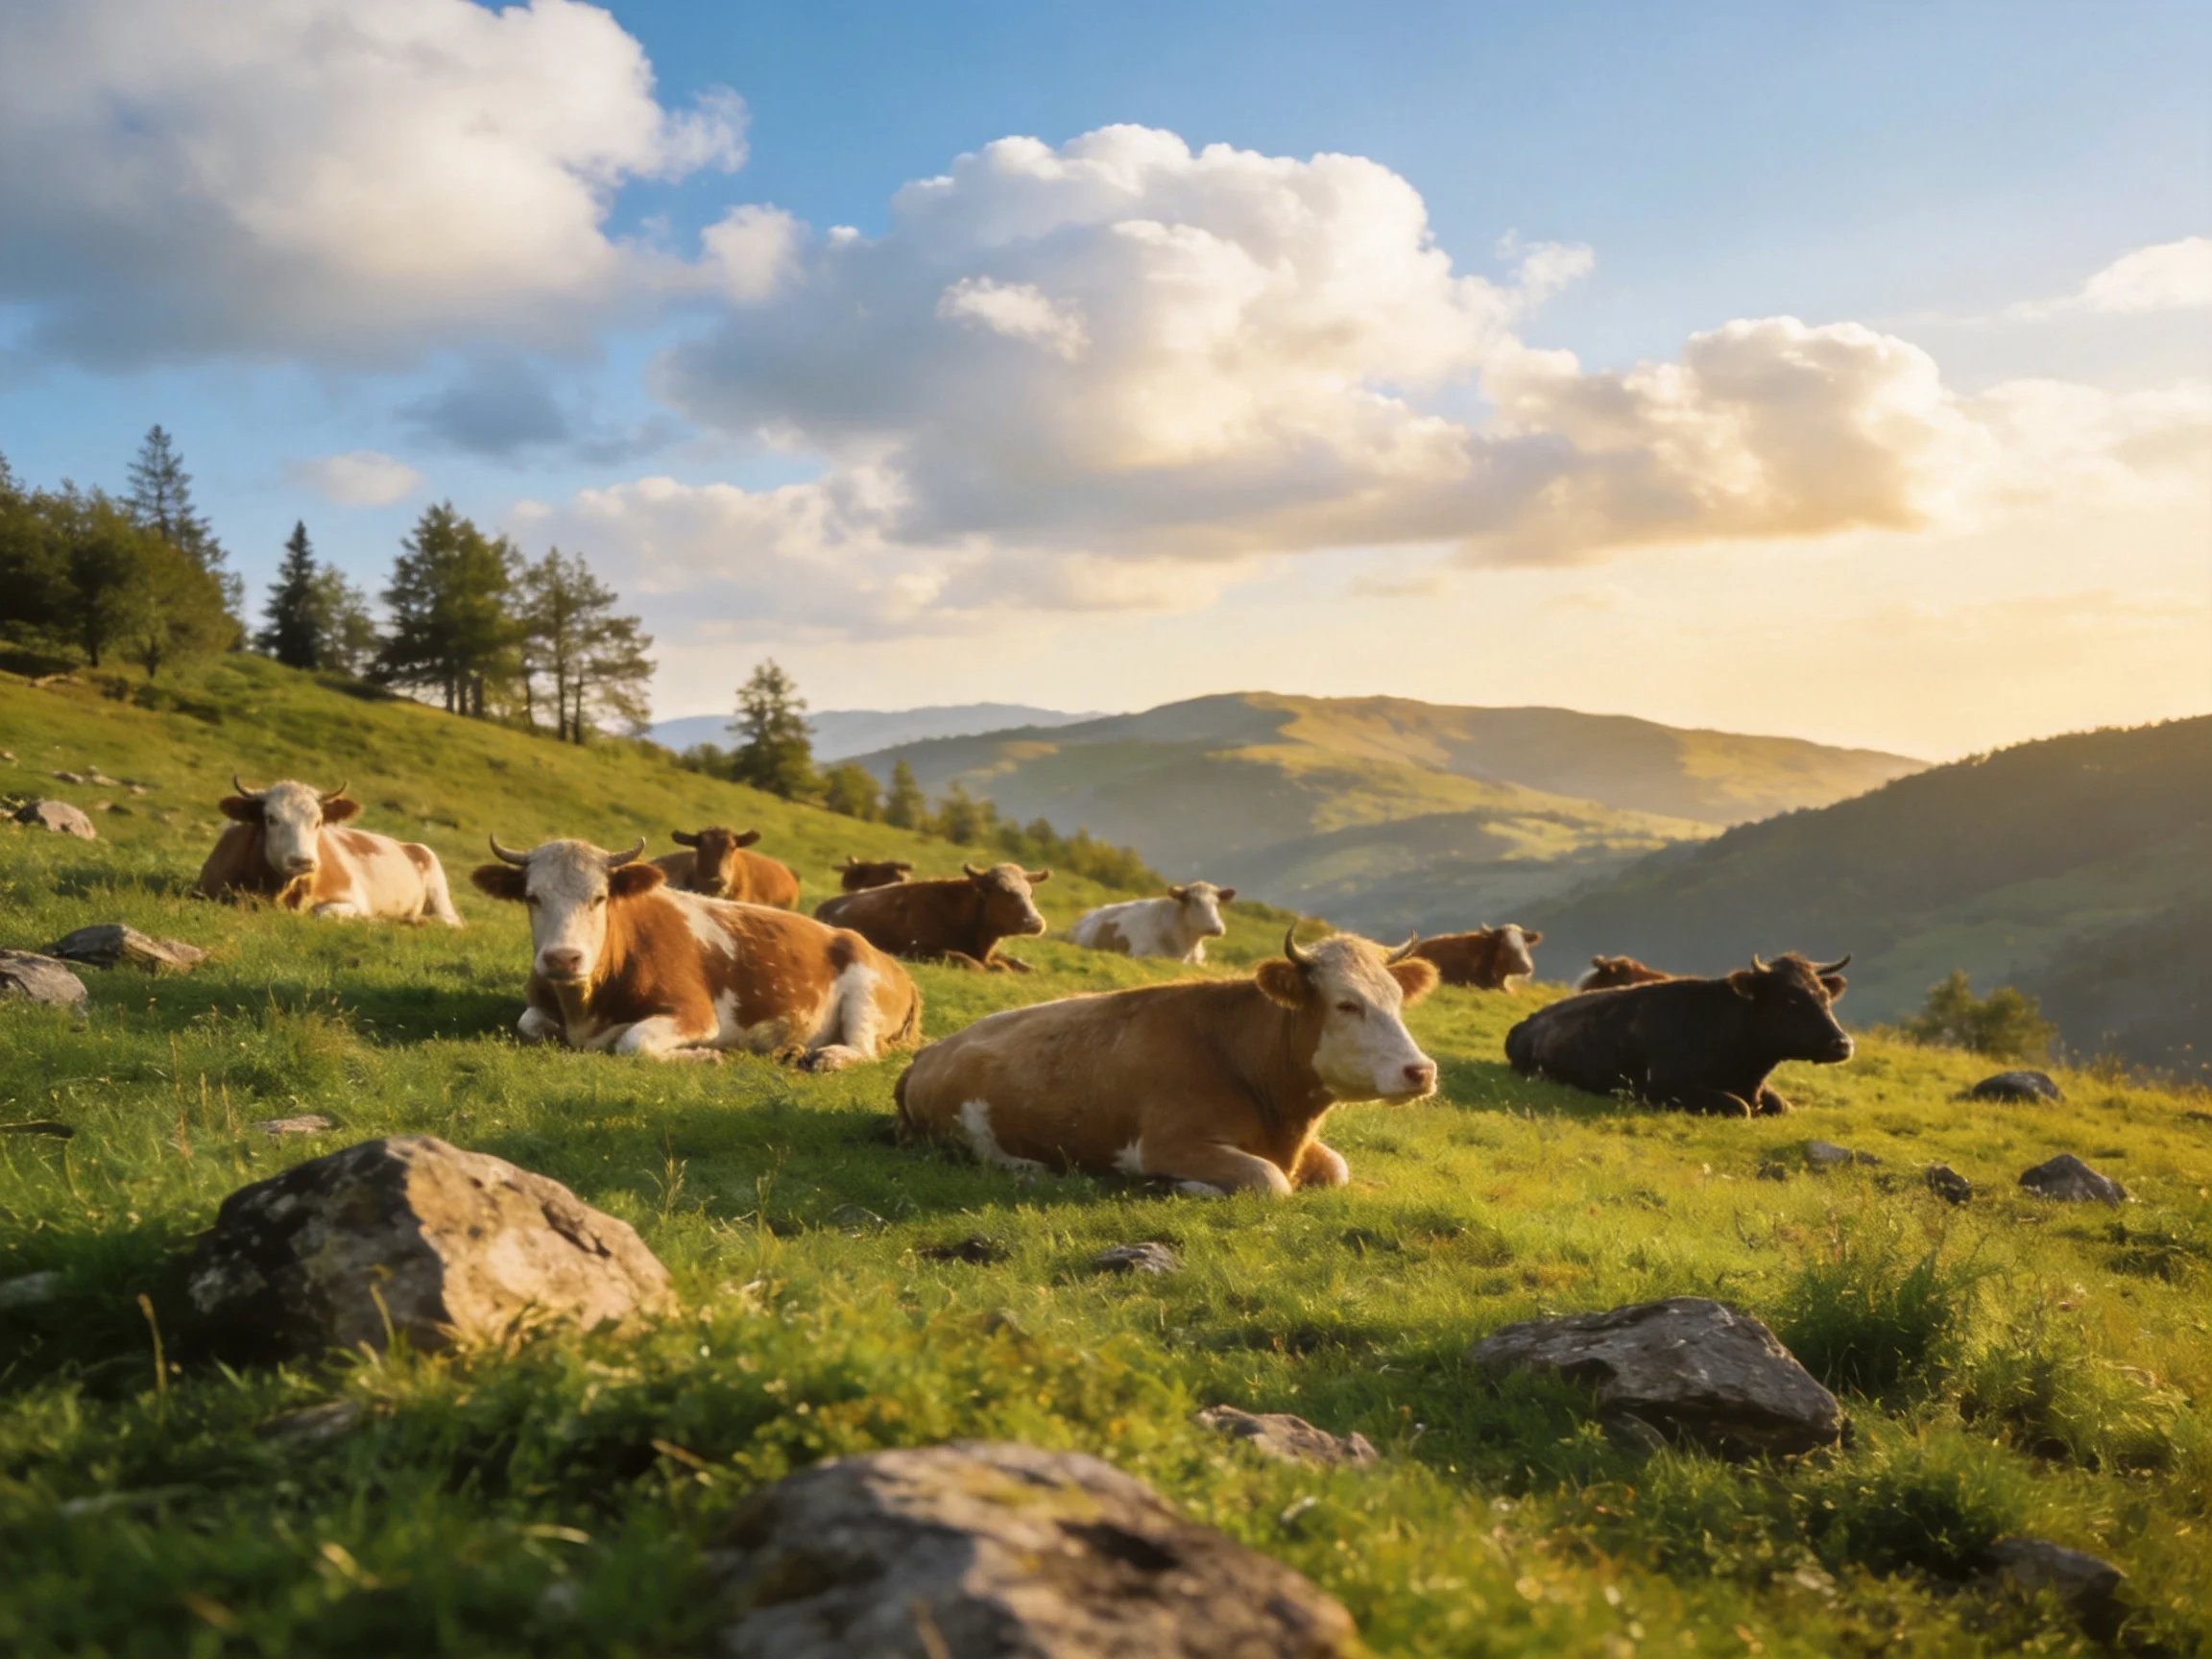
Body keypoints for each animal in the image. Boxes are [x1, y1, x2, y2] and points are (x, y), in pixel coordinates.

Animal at [197, 776, 461, 926]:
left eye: (318, 821)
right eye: (271, 818)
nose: (302, 861)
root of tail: (410, 845)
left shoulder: (354, 900)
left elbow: (322, 914)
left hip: (439, 894)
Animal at [471, 836, 919, 1069]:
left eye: (600, 898)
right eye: (532, 897)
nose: (563, 958)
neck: (585, 1007)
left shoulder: (694, 1012)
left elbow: (633, 1042)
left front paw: (704, 1056)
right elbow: (528, 1024)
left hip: (865, 994)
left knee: (865, 1050)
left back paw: (828, 1058)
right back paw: (791, 1050)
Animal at [814, 862, 1049, 972]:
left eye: (1031, 893)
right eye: (1004, 892)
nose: (1036, 922)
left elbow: (1022, 965)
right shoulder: (922, 950)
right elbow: (975, 963)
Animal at [895, 928, 1438, 1197]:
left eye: (1396, 998)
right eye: (1346, 1004)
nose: (1422, 1071)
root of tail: (930, 1050)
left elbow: (1336, 1168)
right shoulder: (1166, 1144)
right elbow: (1270, 1181)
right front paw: (1188, 1186)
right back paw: (1029, 1168)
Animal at [1504, 953, 1853, 1116]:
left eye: (1825, 996)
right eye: (1790, 999)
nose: (1844, 1043)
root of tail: (1524, 1024)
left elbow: (1783, 1105)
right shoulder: (1663, 1087)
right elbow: (1739, 1107)